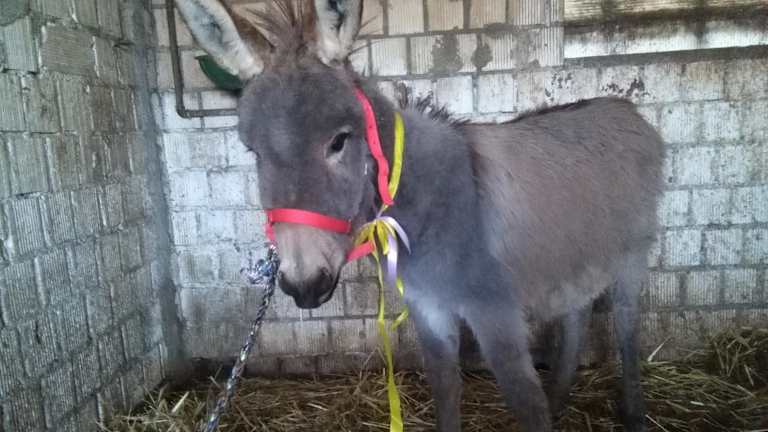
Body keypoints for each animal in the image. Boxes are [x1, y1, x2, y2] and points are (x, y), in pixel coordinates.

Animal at [176, 1, 664, 430]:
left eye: (339, 140)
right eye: (253, 152)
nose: (304, 284)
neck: (429, 206)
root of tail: (626, 110)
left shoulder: (496, 315)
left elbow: (527, 405)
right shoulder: (430, 312)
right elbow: (445, 396)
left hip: (630, 258)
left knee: (626, 326)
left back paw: (635, 415)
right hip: (576, 259)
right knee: (577, 315)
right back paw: (562, 399)